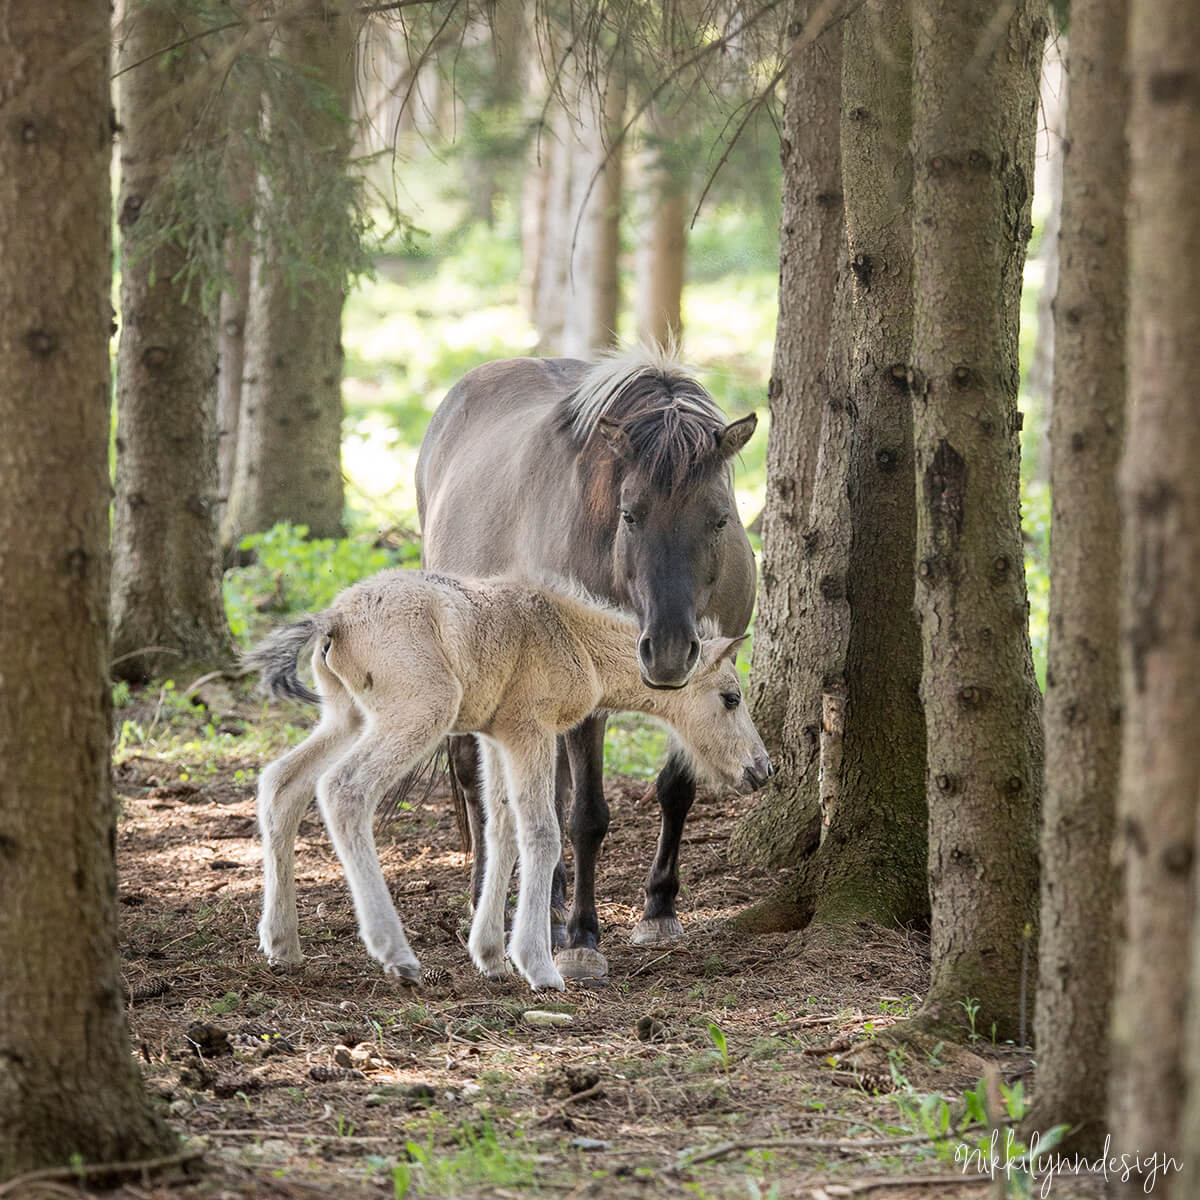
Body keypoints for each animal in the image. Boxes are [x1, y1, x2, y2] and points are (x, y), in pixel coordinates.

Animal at [246, 569, 771, 991]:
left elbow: (500, 825)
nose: (762, 767)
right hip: (419, 712)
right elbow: (540, 831)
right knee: (344, 790)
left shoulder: (494, 735)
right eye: (731, 698)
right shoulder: (530, 728)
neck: (573, 635)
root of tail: (334, 617)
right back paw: (396, 954)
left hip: (345, 715)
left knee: (280, 782)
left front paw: (490, 955)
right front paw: (538, 965)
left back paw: (281, 943)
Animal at [416, 345, 758, 979]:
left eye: (720, 518)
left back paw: (545, 908)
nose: (668, 651)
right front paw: (581, 939)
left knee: (540, 797)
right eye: (630, 515)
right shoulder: (588, 701)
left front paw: (658, 910)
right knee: (482, 787)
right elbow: (588, 816)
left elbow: (676, 790)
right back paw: (491, 906)